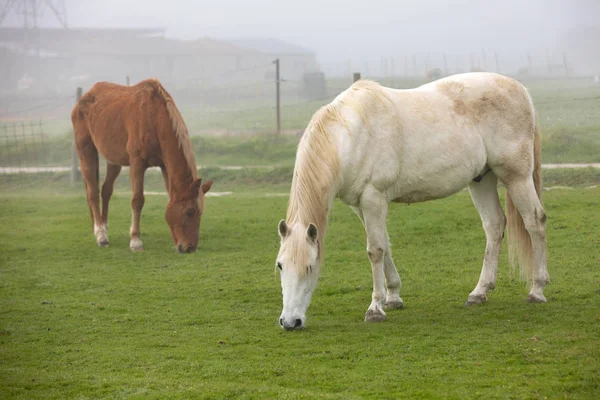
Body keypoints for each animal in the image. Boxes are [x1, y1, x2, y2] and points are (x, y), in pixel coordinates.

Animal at [71, 78, 212, 253]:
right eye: (189, 211)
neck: (154, 117)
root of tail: (84, 98)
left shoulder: (164, 166)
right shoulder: (137, 163)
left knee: (106, 191)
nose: (189, 248)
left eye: (200, 212)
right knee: (93, 192)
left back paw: (103, 227)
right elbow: (137, 200)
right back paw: (101, 235)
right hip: (86, 150)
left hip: (113, 160)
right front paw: (135, 241)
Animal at [276, 72, 548, 332]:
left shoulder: (374, 198)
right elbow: (385, 244)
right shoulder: (359, 206)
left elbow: (375, 250)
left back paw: (537, 289)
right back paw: (479, 292)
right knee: (494, 225)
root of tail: (520, 89)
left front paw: (375, 309)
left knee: (535, 222)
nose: (290, 322)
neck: (352, 134)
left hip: (516, 177)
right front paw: (393, 297)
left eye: (310, 267)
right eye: (280, 266)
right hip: (482, 179)